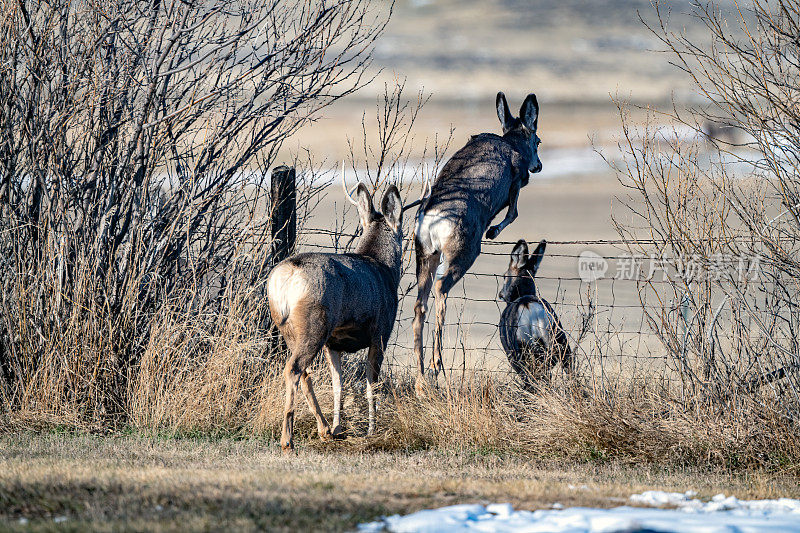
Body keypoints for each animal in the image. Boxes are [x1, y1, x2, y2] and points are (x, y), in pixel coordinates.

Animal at [268, 171, 410, 454]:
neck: (385, 270)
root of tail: (286, 276)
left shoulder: (334, 343)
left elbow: (338, 384)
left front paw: (338, 427)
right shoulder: (380, 333)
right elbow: (371, 383)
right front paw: (372, 430)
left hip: (290, 328)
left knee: (304, 373)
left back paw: (324, 430)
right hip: (315, 322)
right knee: (293, 369)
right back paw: (287, 439)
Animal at [412, 90, 544, 390]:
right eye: (538, 140)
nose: (539, 166)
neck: (512, 144)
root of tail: (432, 217)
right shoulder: (516, 180)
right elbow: (514, 211)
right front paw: (493, 230)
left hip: (424, 253)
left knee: (419, 304)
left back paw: (421, 376)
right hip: (465, 249)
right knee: (441, 288)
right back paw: (436, 366)